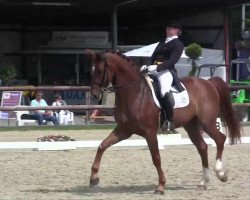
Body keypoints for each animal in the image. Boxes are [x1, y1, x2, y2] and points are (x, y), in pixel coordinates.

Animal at [87, 50, 240, 195]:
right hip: (191, 125)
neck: (134, 93)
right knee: (202, 147)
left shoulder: (149, 132)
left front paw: (160, 186)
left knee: (220, 139)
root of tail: (208, 82)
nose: (94, 94)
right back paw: (203, 182)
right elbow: (102, 146)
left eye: (99, 70)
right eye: (91, 70)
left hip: (207, 122)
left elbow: (156, 158)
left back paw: (221, 173)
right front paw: (93, 179)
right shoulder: (124, 130)